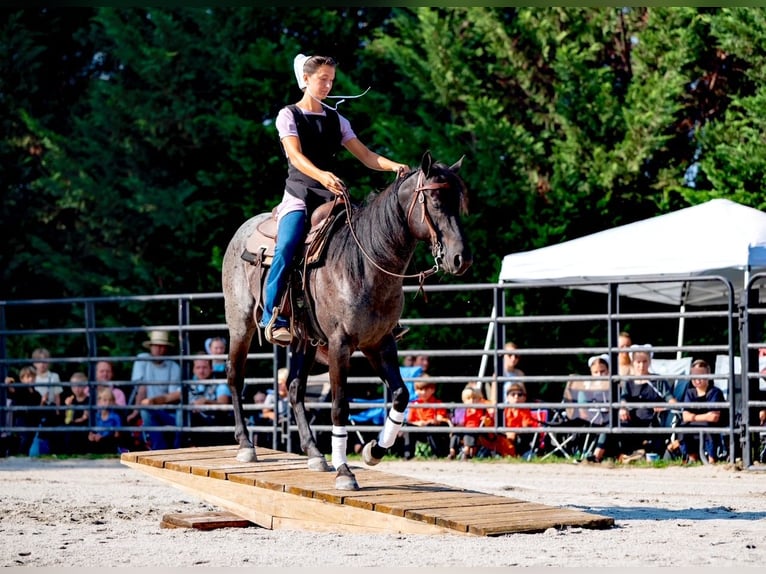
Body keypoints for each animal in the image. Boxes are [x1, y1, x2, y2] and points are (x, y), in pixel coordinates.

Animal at [220, 152, 474, 490]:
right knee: (236, 377)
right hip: (241, 325)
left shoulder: (380, 343)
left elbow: (401, 394)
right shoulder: (341, 346)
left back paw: (315, 453)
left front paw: (374, 450)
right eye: (433, 200)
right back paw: (247, 445)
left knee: (295, 386)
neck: (366, 264)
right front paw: (344, 472)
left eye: (459, 201)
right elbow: (340, 406)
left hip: (305, 340)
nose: (461, 259)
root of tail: (241, 232)